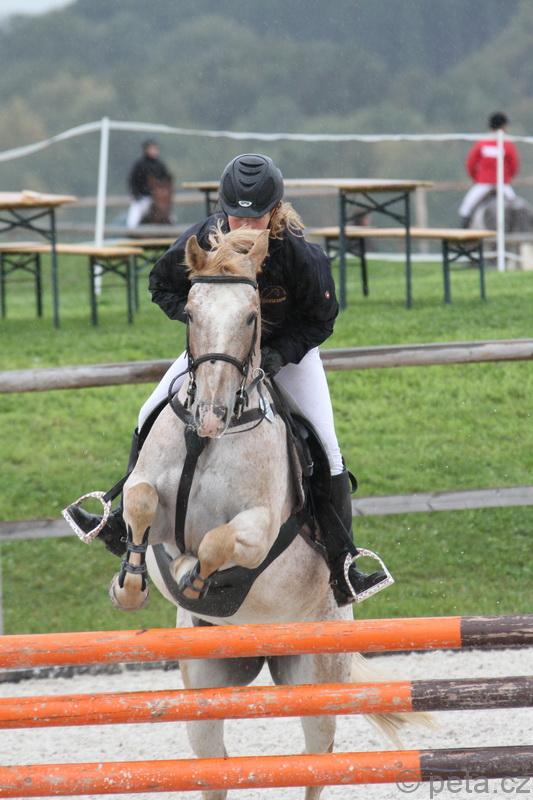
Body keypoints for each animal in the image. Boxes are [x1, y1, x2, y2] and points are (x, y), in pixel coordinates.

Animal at [106, 226, 419, 800]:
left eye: (252, 316)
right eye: (190, 312)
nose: (209, 414)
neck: (208, 441)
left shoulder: (260, 528)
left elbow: (217, 543)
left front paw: (194, 576)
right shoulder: (151, 496)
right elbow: (139, 503)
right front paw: (131, 586)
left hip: (314, 675)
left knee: (318, 758)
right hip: (205, 682)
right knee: (215, 766)